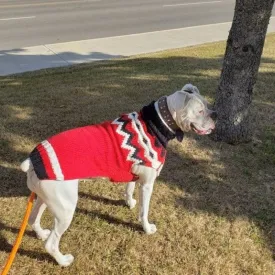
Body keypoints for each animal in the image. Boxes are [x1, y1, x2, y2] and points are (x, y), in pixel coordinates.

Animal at [20, 84, 217, 268]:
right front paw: (146, 228)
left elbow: (129, 189)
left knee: (33, 218)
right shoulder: (147, 185)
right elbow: (144, 211)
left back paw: (40, 233)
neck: (157, 123)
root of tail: (32, 160)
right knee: (51, 243)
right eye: (200, 111)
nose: (214, 114)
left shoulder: (134, 175)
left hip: (45, 198)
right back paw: (63, 260)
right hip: (65, 209)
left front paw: (129, 202)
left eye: (207, 105)